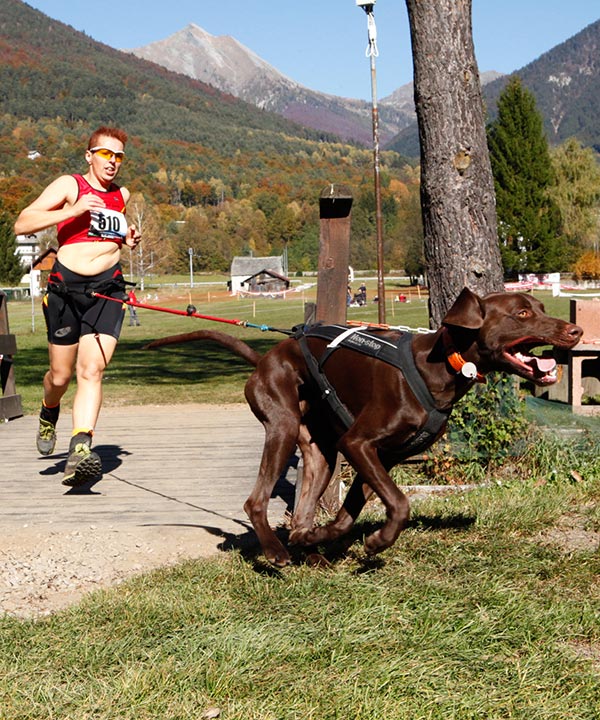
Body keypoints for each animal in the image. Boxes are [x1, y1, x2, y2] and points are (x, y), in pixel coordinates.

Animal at [147, 288, 582, 566]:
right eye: (522, 314)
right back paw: (276, 552)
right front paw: (376, 542)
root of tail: (266, 357)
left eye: (541, 306)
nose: (576, 331)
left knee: (302, 511)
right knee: (256, 501)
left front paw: (323, 537)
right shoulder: (358, 443)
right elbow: (400, 504)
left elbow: (346, 515)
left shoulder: (381, 455)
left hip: (321, 451)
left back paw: (308, 548)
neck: (442, 366)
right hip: (283, 426)